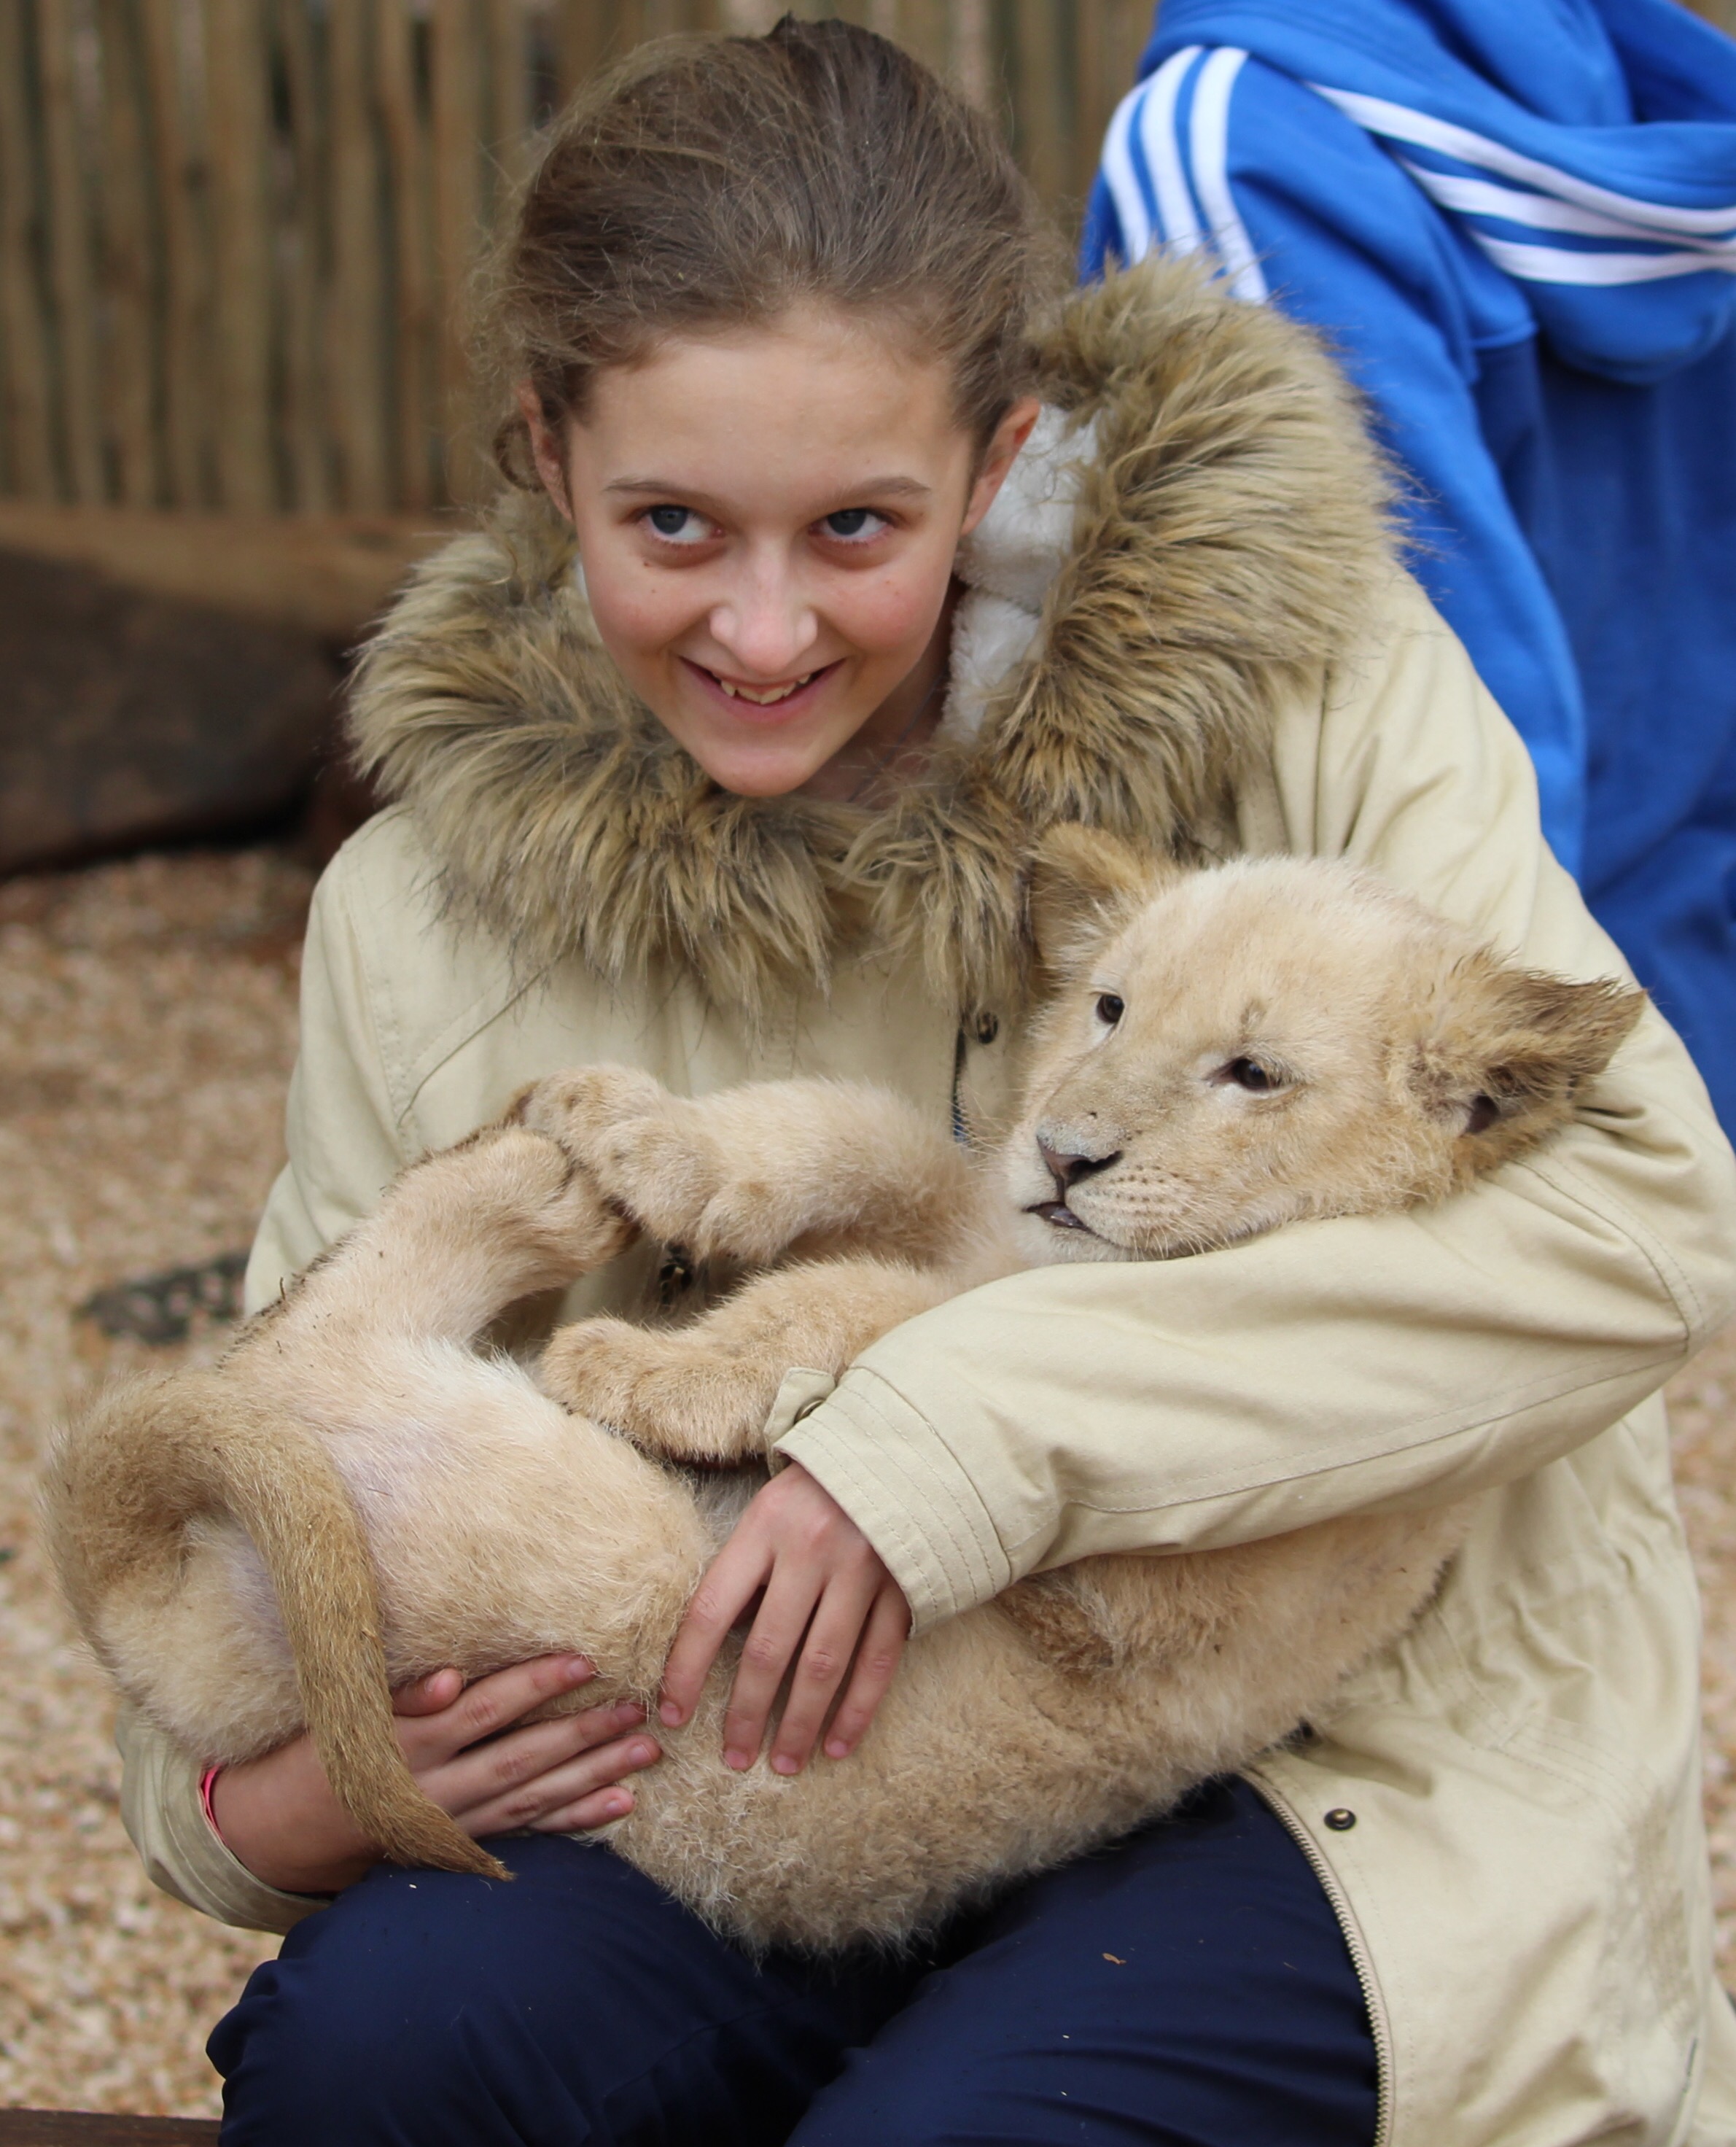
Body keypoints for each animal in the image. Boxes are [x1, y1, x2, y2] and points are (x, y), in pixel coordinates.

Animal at [43, 830, 1644, 1951]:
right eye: (1109, 1006)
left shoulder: (1160, 1575)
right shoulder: (960, 1194)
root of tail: (172, 1627)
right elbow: (851, 1128)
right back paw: (553, 1150)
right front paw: (648, 1135)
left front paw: (646, 1361)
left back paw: (532, 1200)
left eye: (1252, 1071)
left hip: (600, 1564)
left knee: (311, 1346)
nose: (1065, 1153)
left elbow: (889, 1308)